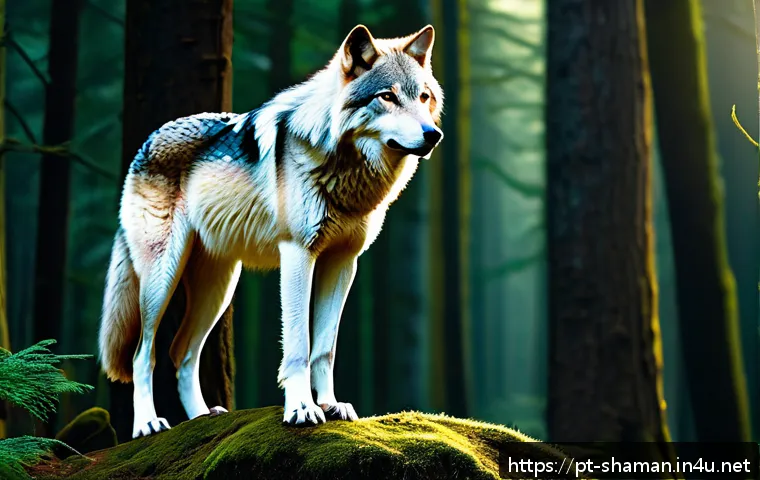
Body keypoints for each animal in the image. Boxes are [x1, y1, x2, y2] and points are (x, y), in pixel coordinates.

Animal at [98, 24, 443, 438]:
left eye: (423, 97)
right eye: (387, 96)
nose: (433, 134)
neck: (345, 167)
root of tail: (148, 140)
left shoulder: (344, 262)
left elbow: (324, 348)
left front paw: (331, 405)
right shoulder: (297, 254)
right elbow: (298, 346)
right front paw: (301, 408)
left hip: (219, 289)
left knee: (182, 353)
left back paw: (202, 418)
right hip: (162, 278)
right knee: (142, 354)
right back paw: (148, 423)